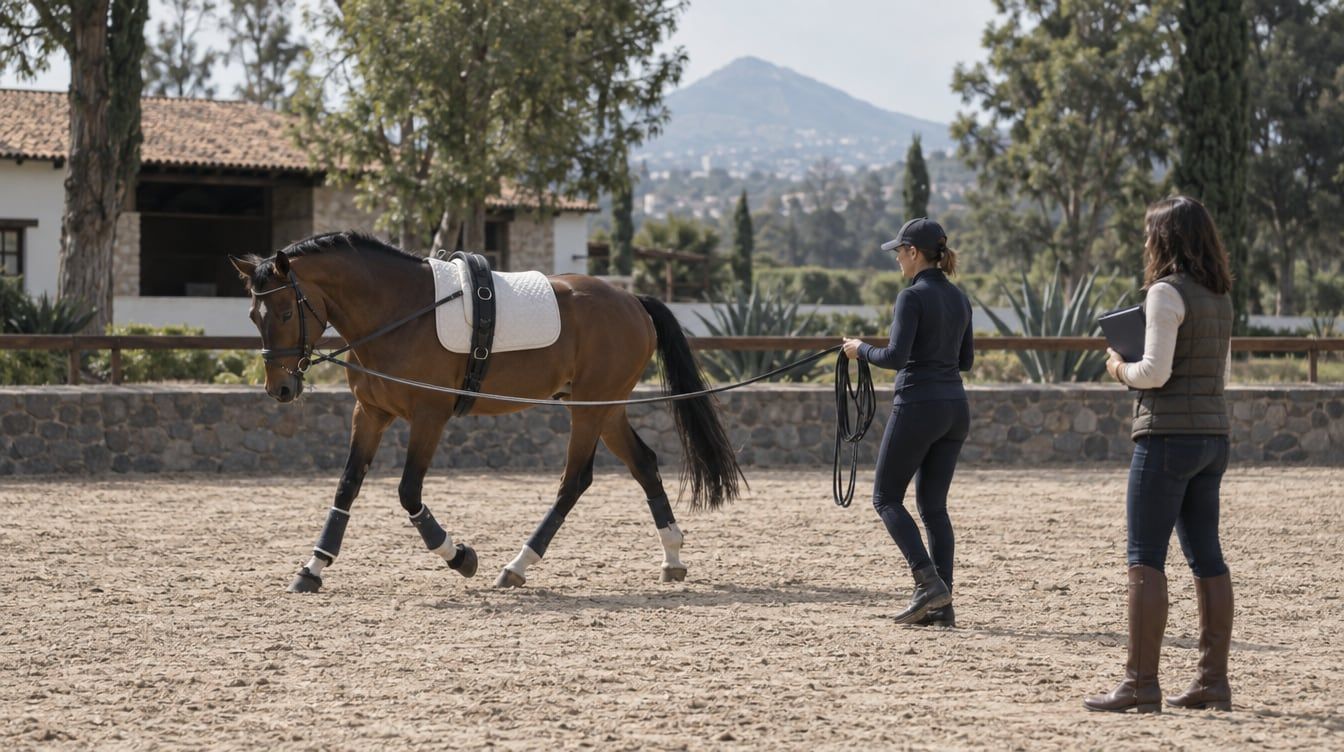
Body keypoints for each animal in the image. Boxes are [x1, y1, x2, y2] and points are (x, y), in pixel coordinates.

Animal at [229, 231, 743, 593]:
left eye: (286, 312)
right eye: (254, 316)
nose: (280, 389)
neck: (398, 312)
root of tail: (633, 301)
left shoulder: (429, 416)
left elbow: (408, 493)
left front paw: (460, 557)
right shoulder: (370, 412)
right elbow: (347, 486)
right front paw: (312, 567)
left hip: (590, 409)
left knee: (575, 480)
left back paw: (517, 565)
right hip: (606, 406)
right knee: (644, 464)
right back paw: (672, 557)